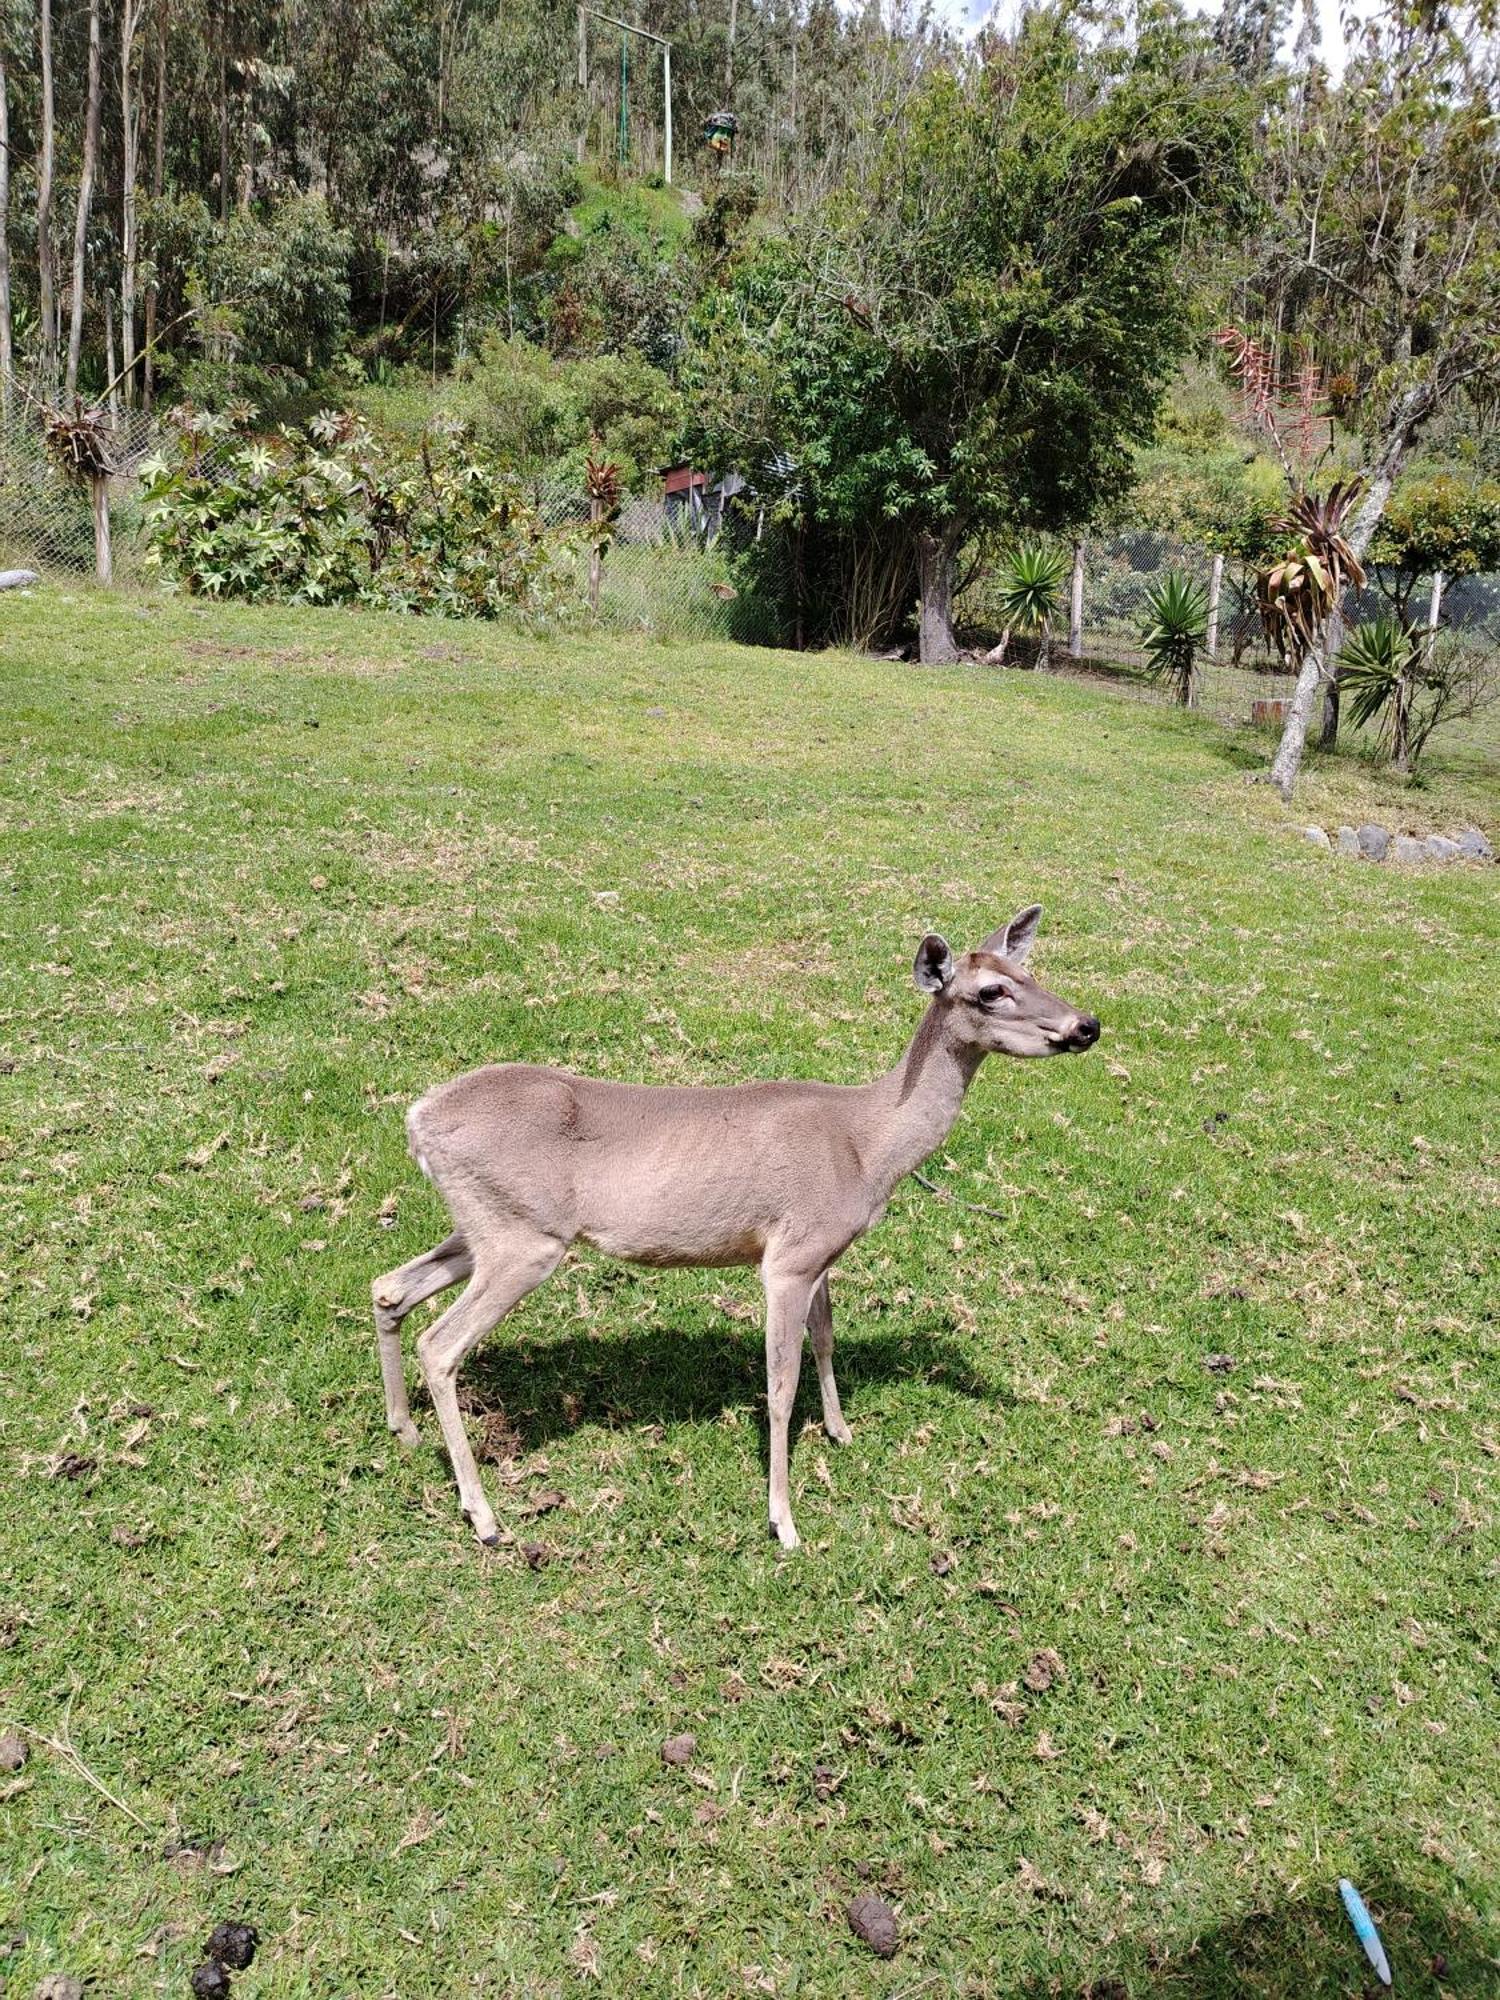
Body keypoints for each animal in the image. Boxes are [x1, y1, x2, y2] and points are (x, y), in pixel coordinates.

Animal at [376, 908, 1104, 1544]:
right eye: (990, 991)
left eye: (1030, 970)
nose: (1088, 1024)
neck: (865, 1146)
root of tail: (417, 1118)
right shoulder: (789, 1256)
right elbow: (780, 1386)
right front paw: (784, 1522)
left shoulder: (819, 1252)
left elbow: (825, 1338)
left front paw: (840, 1431)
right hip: (523, 1239)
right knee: (439, 1344)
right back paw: (485, 1518)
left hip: (486, 1226)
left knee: (389, 1288)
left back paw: (404, 1431)